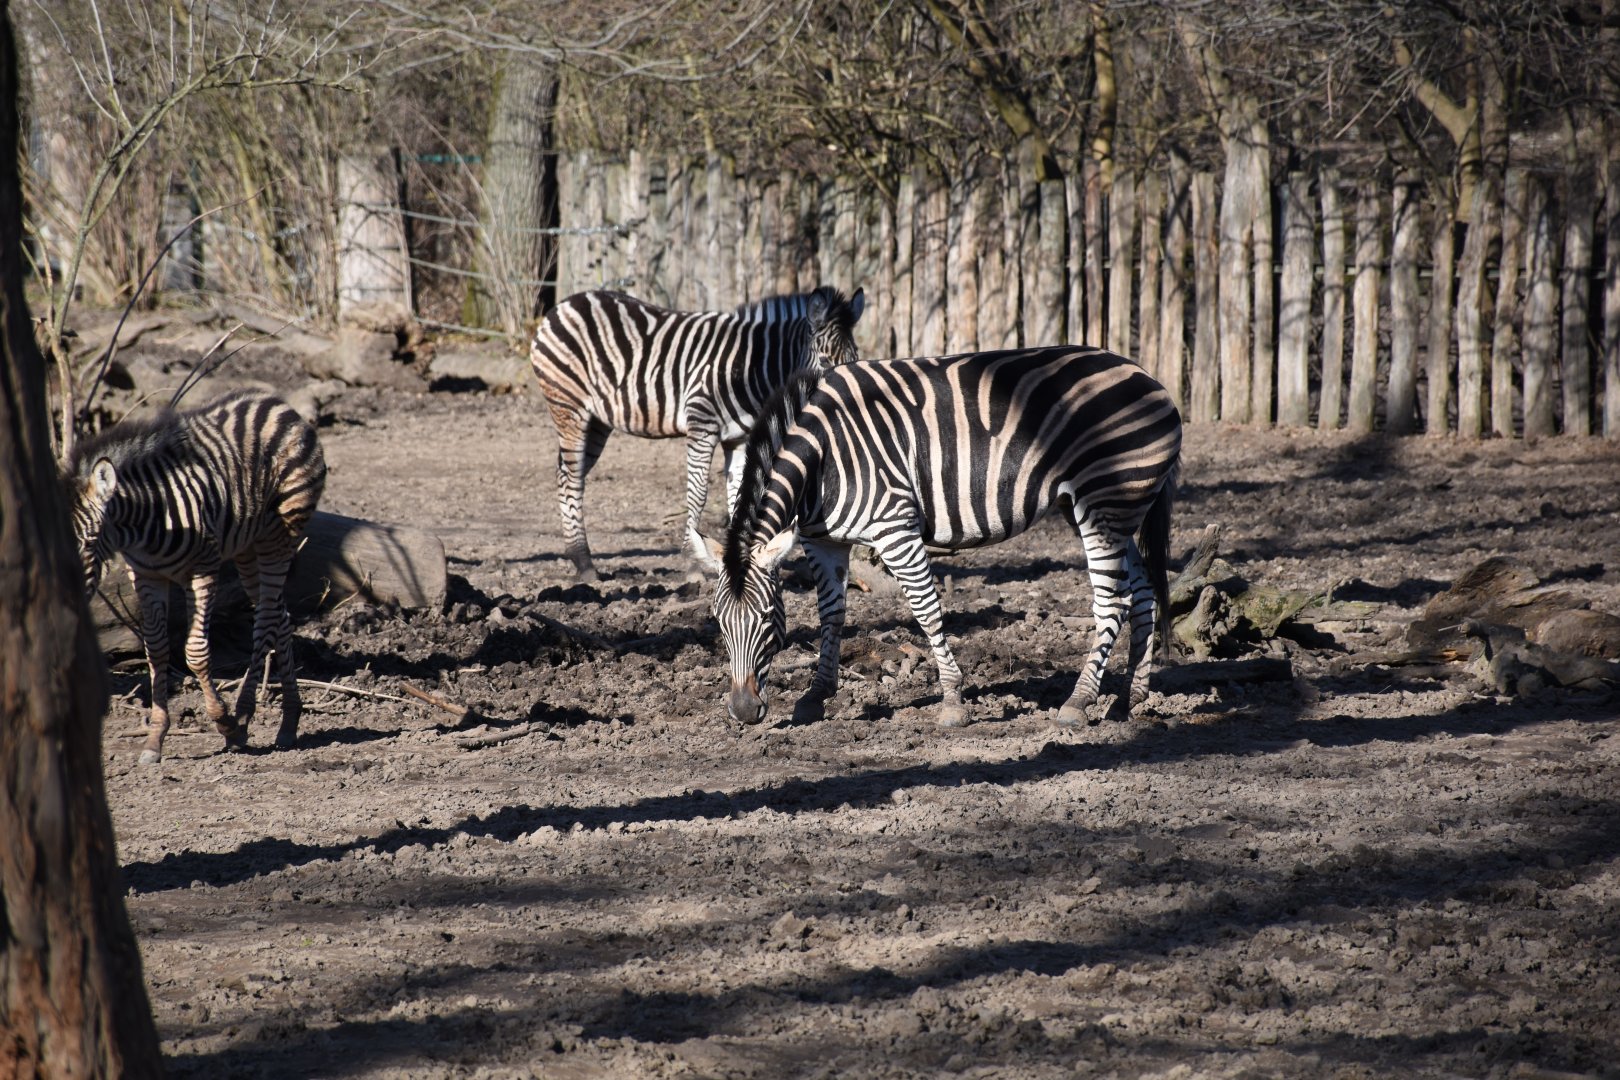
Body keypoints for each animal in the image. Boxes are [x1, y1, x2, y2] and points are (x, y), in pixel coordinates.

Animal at [67, 390, 327, 763]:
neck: (146, 521)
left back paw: (243, 717)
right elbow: (157, 649)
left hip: (280, 536)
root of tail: (278, 403)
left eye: (89, 542)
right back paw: (289, 722)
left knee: (264, 621)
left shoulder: (203, 568)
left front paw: (224, 722)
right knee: (280, 617)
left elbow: (196, 651)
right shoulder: (145, 575)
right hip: (247, 546)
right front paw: (155, 739)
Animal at [530, 285, 865, 581]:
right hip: (569, 405)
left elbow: (739, 494)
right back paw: (584, 562)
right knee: (572, 478)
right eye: (825, 360)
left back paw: (577, 558)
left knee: (564, 474)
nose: (845, 398)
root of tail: (563, 305)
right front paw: (692, 564)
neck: (751, 366)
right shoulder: (701, 424)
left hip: (598, 420)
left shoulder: (738, 438)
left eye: (855, 356)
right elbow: (698, 492)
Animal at [698, 346, 1182, 729]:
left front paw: (952, 701)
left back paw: (1078, 703)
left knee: (1113, 602)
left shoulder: (894, 526)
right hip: (1112, 508)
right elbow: (830, 614)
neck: (821, 459)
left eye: (766, 617)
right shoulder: (822, 541)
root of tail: (1149, 378)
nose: (743, 711)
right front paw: (815, 697)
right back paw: (1127, 700)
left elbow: (926, 611)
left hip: (1103, 505)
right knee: (1143, 593)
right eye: (719, 622)